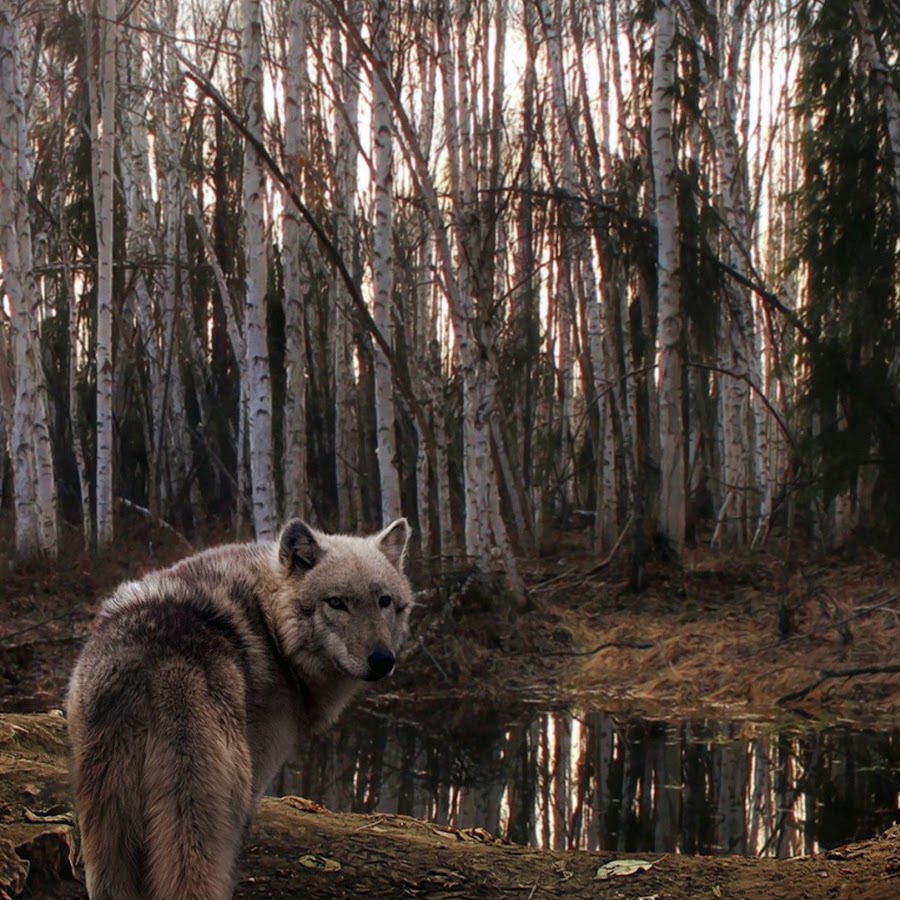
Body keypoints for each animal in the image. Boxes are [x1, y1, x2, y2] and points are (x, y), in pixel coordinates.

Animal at [67, 516, 414, 900]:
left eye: (384, 601)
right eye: (336, 602)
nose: (383, 660)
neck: (271, 627)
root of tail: (157, 664)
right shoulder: (257, 781)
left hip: (107, 827)